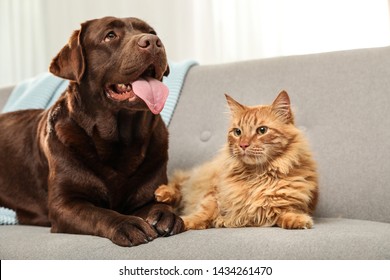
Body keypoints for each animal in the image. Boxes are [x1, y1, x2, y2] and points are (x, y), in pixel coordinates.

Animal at [154, 91, 318, 231]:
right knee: (179, 183)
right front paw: (184, 222)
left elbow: (285, 213)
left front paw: (299, 220)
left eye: (262, 130)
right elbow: (204, 212)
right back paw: (163, 193)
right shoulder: (213, 194)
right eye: (237, 132)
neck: (257, 176)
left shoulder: (284, 205)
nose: (243, 145)